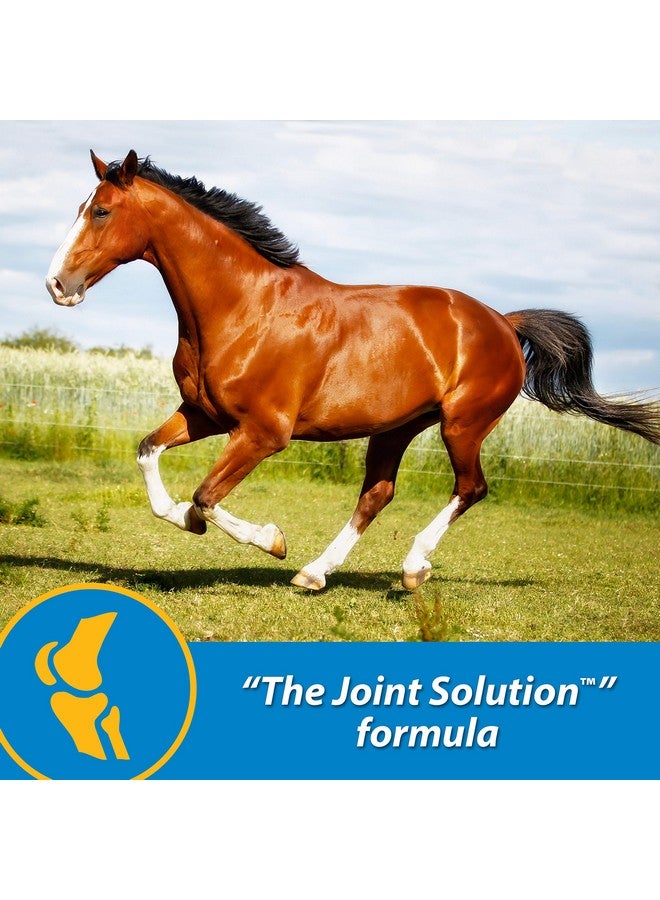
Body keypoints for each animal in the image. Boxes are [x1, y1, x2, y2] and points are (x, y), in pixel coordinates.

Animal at [46, 150, 660, 591]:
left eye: (101, 211)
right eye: (80, 207)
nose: (57, 284)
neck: (243, 306)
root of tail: (504, 324)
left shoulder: (263, 434)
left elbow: (205, 496)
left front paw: (272, 539)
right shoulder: (205, 415)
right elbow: (150, 456)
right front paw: (189, 520)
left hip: (462, 425)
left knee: (471, 487)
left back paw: (411, 570)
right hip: (397, 428)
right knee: (377, 495)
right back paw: (314, 574)